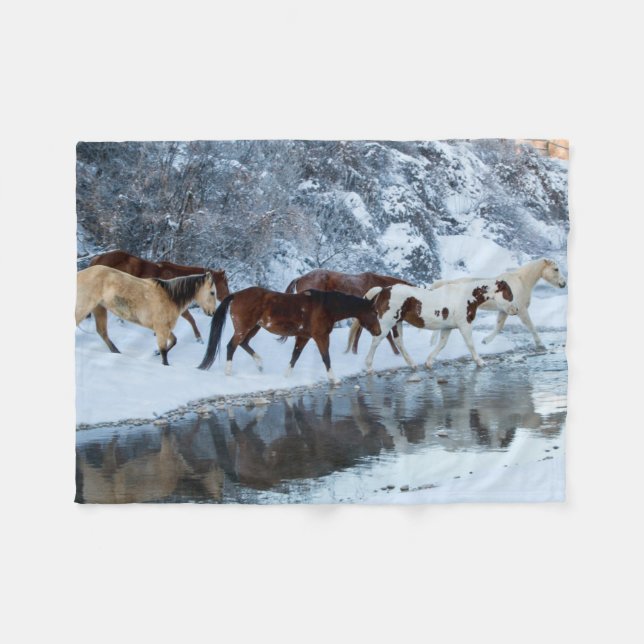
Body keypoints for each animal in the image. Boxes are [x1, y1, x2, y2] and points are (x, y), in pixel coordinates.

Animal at [76, 265, 217, 365]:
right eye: (212, 293)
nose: (212, 313)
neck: (170, 297)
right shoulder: (161, 329)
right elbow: (164, 352)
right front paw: (163, 362)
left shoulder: (163, 329)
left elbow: (174, 341)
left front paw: (155, 353)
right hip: (85, 307)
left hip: (99, 308)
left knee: (102, 332)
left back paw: (117, 352)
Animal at [89, 250, 230, 343]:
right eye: (225, 283)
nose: (228, 296)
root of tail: (98, 258)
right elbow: (191, 319)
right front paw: (199, 337)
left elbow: (189, 318)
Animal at [198, 288, 382, 383]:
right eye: (374, 312)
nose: (379, 331)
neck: (326, 307)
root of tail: (236, 295)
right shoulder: (320, 336)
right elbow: (326, 357)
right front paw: (334, 379)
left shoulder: (304, 337)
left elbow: (295, 355)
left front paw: (286, 376)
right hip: (244, 328)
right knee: (232, 345)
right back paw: (228, 372)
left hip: (254, 328)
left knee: (244, 344)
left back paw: (260, 364)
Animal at [347, 280, 519, 372]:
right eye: (508, 293)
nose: (516, 309)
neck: (467, 296)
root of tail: (383, 290)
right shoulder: (465, 324)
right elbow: (470, 344)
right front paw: (480, 362)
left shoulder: (447, 327)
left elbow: (441, 344)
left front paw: (429, 362)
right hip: (387, 322)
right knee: (377, 340)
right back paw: (369, 367)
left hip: (398, 322)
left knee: (398, 341)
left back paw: (413, 365)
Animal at [429, 258, 566, 349]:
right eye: (556, 269)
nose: (563, 284)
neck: (521, 282)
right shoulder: (521, 310)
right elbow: (531, 326)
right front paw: (540, 344)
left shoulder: (505, 310)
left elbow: (499, 326)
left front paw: (485, 341)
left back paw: (432, 342)